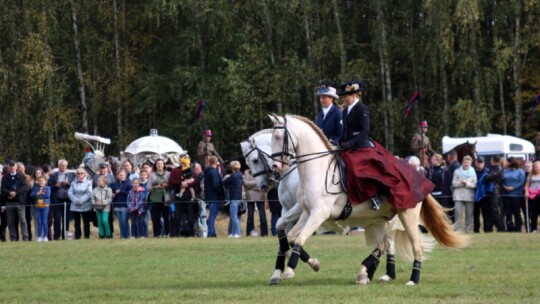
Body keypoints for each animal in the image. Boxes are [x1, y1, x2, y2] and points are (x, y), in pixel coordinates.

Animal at [243, 129, 432, 284]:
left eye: (255, 160)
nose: (263, 186)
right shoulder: (288, 209)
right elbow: (284, 235)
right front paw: (280, 271)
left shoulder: (303, 209)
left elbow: (290, 237)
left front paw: (302, 264)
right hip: (379, 219)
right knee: (386, 243)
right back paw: (376, 274)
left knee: (394, 243)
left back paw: (387, 275)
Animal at [270, 114, 468, 284]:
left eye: (279, 136)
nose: (275, 167)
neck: (317, 169)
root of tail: (422, 177)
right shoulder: (306, 211)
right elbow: (291, 236)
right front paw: (309, 264)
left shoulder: (319, 213)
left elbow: (299, 238)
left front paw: (289, 270)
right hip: (379, 221)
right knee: (384, 244)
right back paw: (369, 273)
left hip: (407, 216)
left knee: (413, 247)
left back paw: (411, 279)